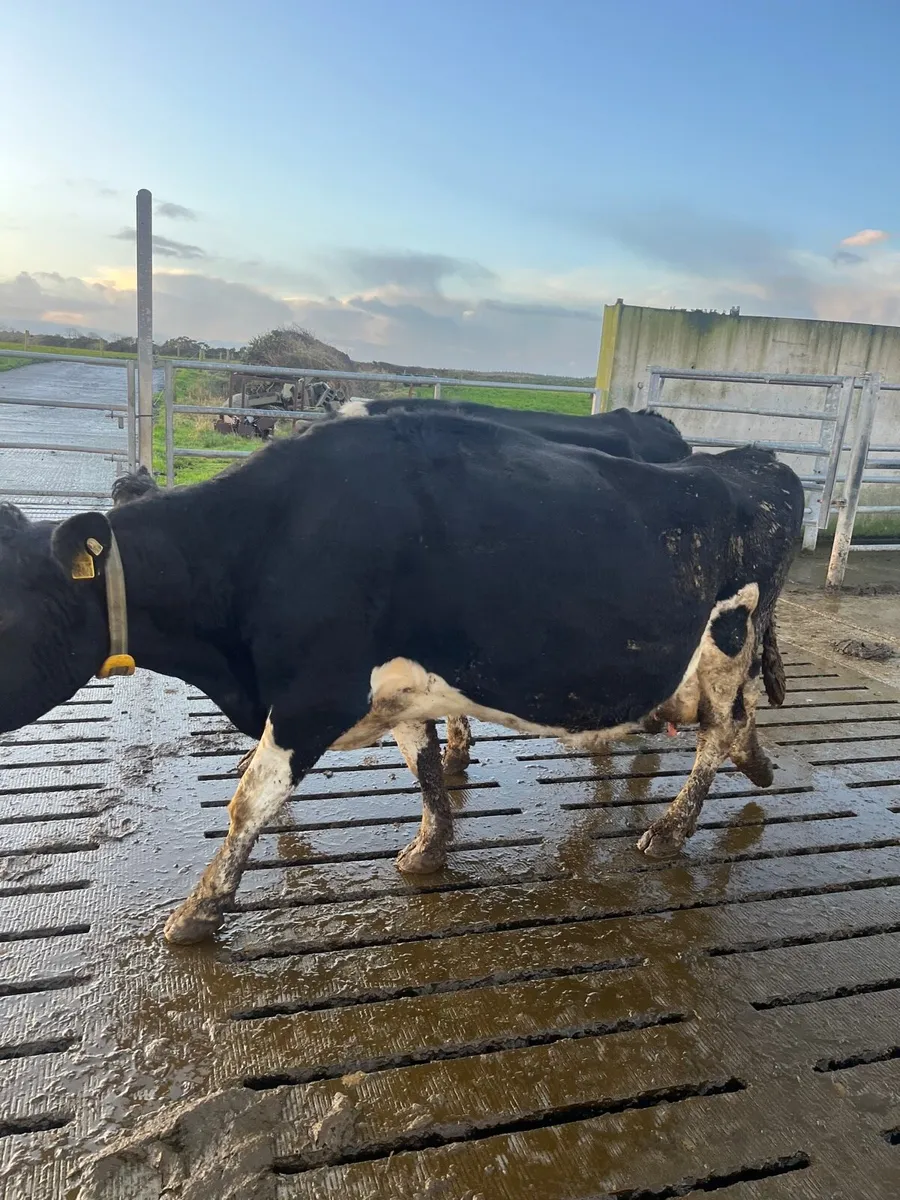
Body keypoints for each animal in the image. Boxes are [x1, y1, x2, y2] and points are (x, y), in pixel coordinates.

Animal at [0, 409, 804, 945]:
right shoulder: (397, 686)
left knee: (717, 731)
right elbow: (423, 765)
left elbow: (249, 800)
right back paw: (757, 768)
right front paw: (430, 849)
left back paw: (671, 830)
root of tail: (757, 461)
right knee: (733, 724)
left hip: (728, 639)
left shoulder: (312, 695)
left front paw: (197, 912)